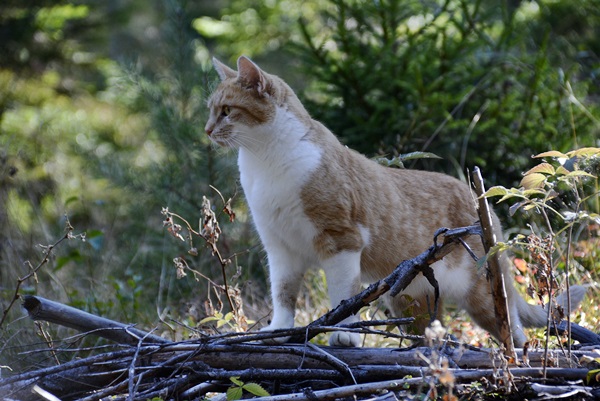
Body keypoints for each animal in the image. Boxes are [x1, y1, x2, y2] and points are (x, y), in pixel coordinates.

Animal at [205, 54, 584, 346]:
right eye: (211, 111)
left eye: (226, 110)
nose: (207, 130)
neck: (265, 164)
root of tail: (483, 201)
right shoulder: (281, 249)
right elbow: (283, 295)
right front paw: (280, 331)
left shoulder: (341, 239)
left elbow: (342, 296)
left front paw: (343, 334)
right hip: (411, 298)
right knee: (428, 328)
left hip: (482, 295)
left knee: (515, 333)